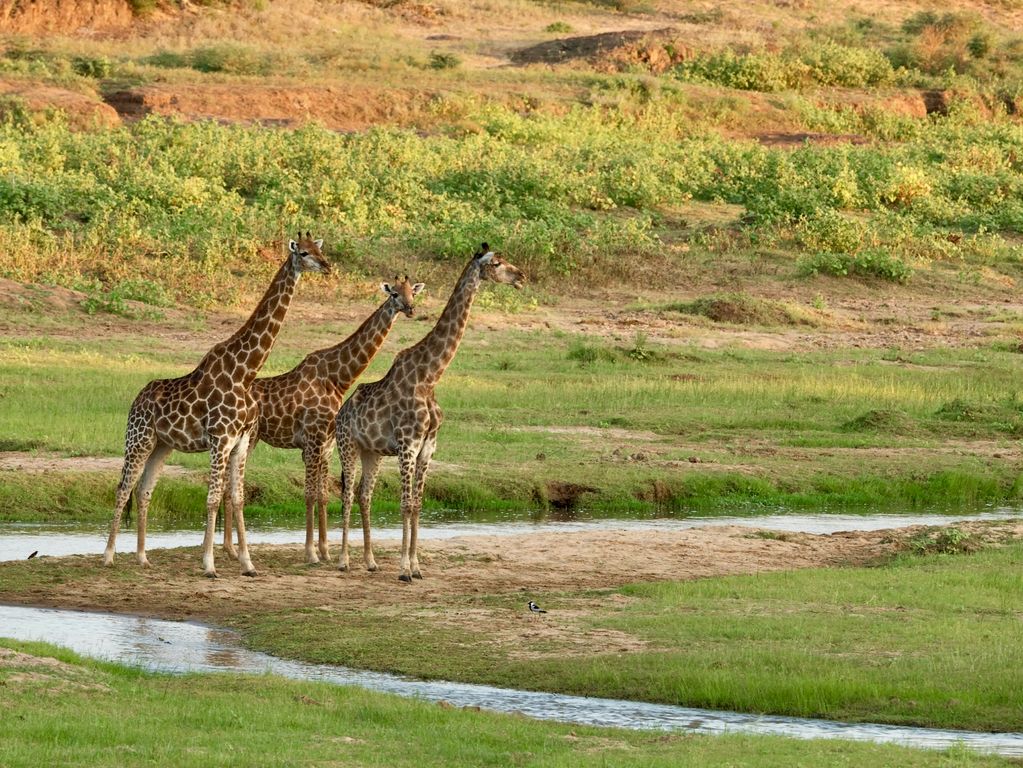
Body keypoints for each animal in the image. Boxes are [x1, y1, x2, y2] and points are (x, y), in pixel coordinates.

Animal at [102, 234, 331, 576]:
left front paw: (248, 564)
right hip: (137, 439)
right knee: (122, 488)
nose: (327, 266)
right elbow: (211, 499)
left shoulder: (241, 441)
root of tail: (136, 399)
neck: (245, 372)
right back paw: (108, 556)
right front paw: (209, 564)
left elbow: (236, 498)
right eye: (303, 253)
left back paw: (143, 557)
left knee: (143, 490)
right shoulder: (220, 439)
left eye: (319, 250)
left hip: (162, 445)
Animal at [225, 276, 427, 564]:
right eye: (395, 294)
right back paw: (231, 550)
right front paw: (311, 552)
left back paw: (230, 549)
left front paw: (326, 551)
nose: (410, 308)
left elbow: (322, 495)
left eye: (413, 292)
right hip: (248, 439)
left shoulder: (327, 442)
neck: (338, 378)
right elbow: (310, 494)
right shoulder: (312, 440)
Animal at [337, 243, 527, 580]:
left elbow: (418, 504)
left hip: (371, 452)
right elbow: (405, 504)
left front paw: (416, 567)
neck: (429, 377)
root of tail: (340, 413)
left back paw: (370, 561)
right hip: (347, 445)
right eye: (497, 263)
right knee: (347, 494)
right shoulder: (408, 446)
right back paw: (344, 561)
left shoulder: (428, 447)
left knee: (364, 494)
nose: (522, 277)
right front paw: (404, 569)